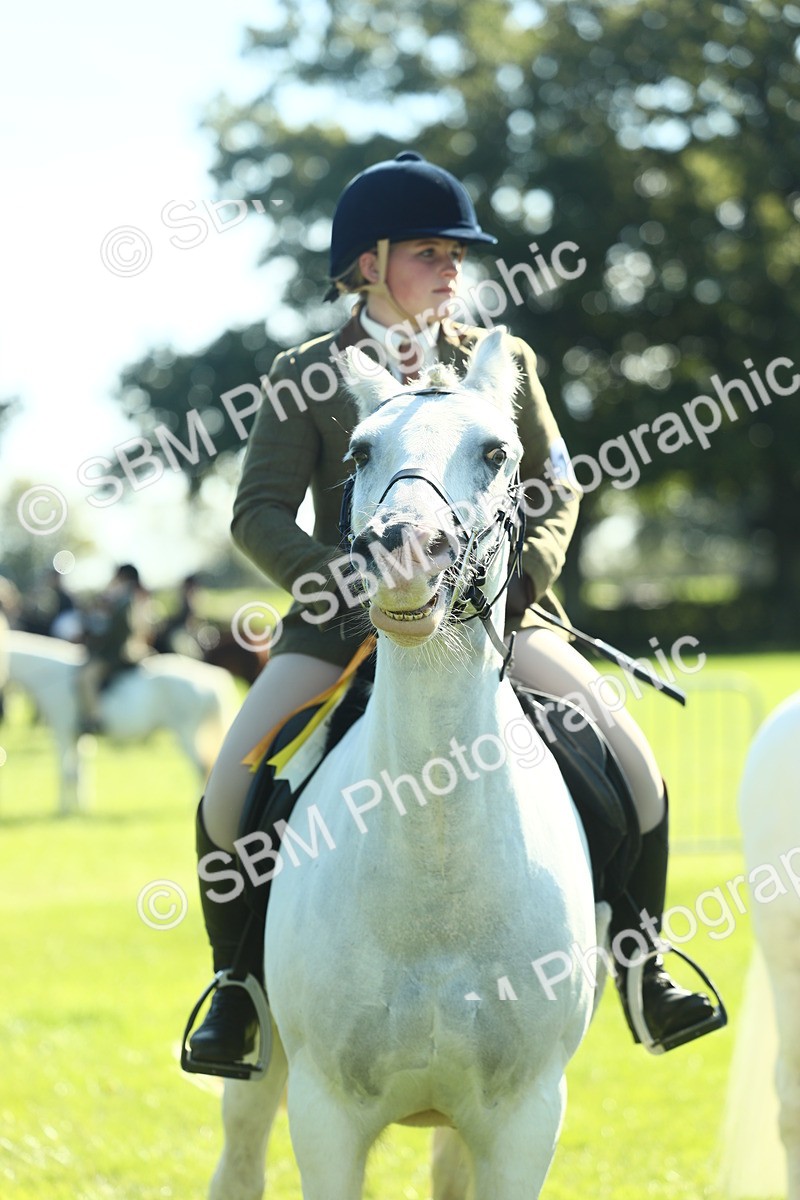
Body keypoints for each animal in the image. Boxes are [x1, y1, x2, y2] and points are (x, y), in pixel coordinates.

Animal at [4, 630, 240, 814]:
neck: (53, 676)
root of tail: (210, 677)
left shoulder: (62, 733)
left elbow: (66, 773)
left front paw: (63, 810)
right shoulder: (78, 737)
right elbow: (78, 773)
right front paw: (80, 808)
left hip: (185, 732)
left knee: (200, 766)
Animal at [207, 329, 604, 1200]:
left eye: (496, 452)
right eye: (359, 451)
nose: (404, 552)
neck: (436, 860)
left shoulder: (525, 1121)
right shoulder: (325, 1115)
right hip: (261, 1063)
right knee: (240, 1154)